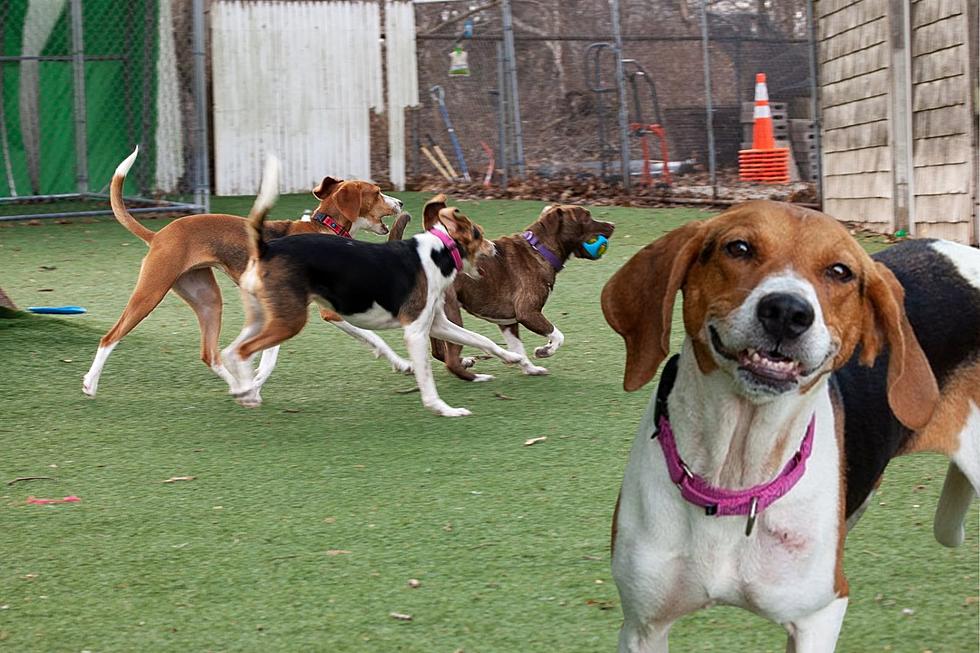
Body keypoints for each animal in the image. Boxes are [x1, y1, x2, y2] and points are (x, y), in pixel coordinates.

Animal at [82, 146, 404, 398]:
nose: (400, 202)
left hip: (208, 300)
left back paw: (236, 385)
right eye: (378, 193)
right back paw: (90, 383)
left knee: (210, 354)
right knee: (110, 338)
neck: (325, 226)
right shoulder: (327, 312)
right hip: (150, 293)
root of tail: (158, 234)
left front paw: (401, 364)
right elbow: (373, 337)